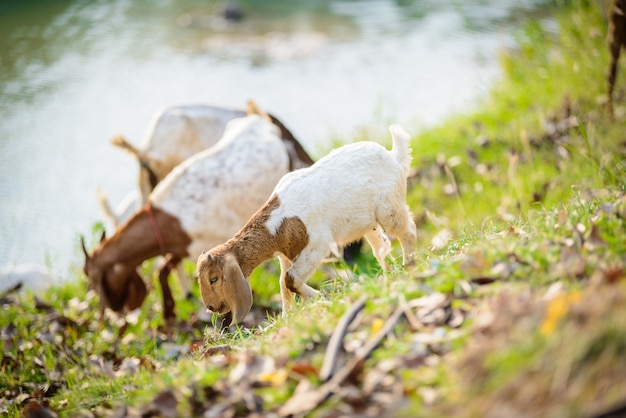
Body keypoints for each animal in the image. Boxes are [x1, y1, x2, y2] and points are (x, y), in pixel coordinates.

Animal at [82, 108, 308, 324]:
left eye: (92, 279)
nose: (116, 311)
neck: (171, 218)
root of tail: (259, 119)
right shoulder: (186, 246)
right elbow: (163, 269)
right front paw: (170, 311)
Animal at [197, 124, 416, 326]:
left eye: (214, 279)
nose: (211, 307)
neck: (278, 222)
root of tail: (393, 156)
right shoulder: (285, 255)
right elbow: (283, 283)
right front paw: (287, 316)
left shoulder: (317, 246)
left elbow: (290, 279)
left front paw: (319, 297)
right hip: (369, 223)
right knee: (381, 246)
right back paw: (389, 274)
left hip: (389, 208)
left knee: (408, 231)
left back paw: (409, 265)